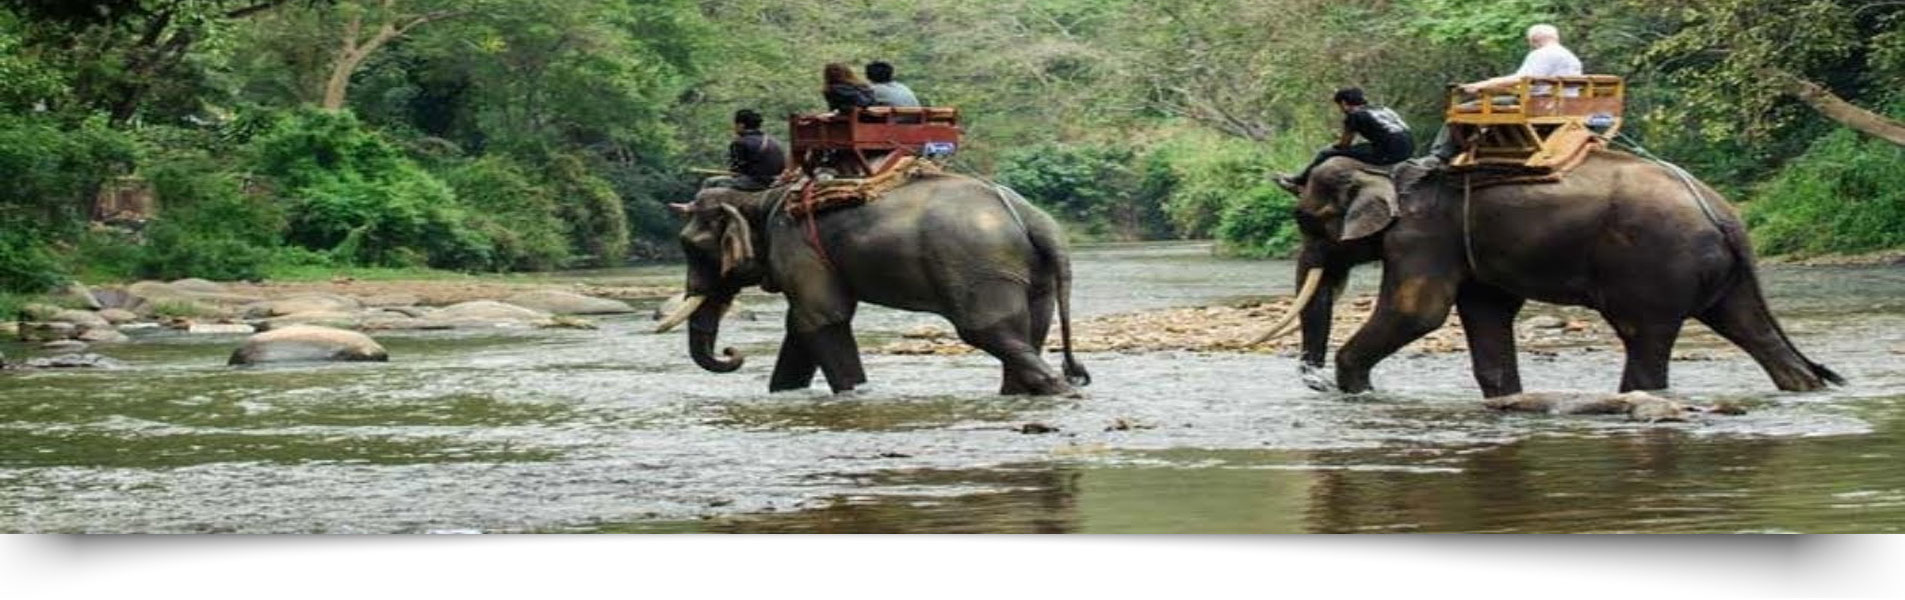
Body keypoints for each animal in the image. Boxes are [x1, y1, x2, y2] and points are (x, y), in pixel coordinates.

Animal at [656, 173, 1090, 396]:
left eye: (691, 247)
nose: (733, 353)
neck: (763, 197)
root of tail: (1031, 216)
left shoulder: (796, 245)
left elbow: (822, 318)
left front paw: (854, 393)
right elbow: (801, 326)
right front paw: (784, 394)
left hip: (978, 267)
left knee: (987, 331)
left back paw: (1060, 390)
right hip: (1030, 273)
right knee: (1029, 329)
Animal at [1255, 151, 1843, 397]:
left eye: (1307, 222)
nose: (1313, 380)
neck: (1381, 169)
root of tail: (1725, 215)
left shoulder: (1422, 237)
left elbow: (1417, 312)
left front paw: (1357, 389)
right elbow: (1485, 313)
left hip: (1654, 267)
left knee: (1643, 336)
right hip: (1725, 276)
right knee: (1750, 328)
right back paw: (1804, 387)